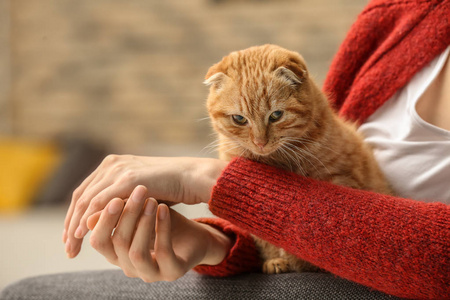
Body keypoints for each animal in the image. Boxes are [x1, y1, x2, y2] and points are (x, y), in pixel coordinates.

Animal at [204, 44, 390, 274]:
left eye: (276, 115)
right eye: (239, 119)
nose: (260, 143)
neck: (277, 158)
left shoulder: (341, 181)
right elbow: (264, 239)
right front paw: (275, 260)